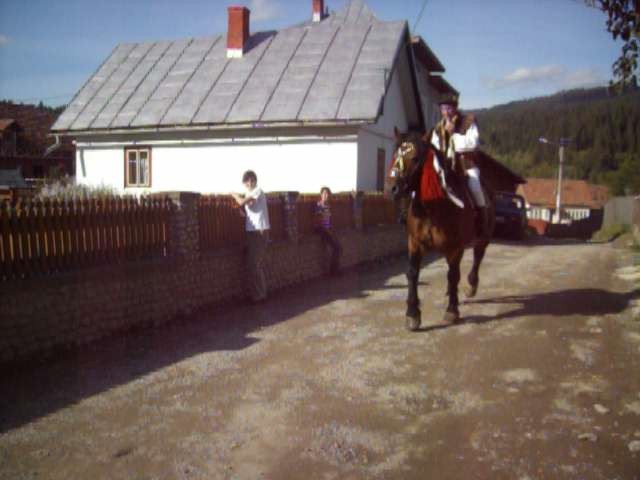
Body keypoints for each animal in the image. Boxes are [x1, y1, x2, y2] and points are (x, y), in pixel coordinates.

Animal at [388, 126, 498, 330]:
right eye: (395, 154)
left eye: (415, 158)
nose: (393, 188)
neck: (433, 208)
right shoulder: (415, 243)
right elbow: (412, 273)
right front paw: (412, 314)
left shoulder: (455, 248)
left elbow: (453, 274)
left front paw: (452, 311)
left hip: (482, 239)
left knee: (477, 258)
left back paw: (471, 286)